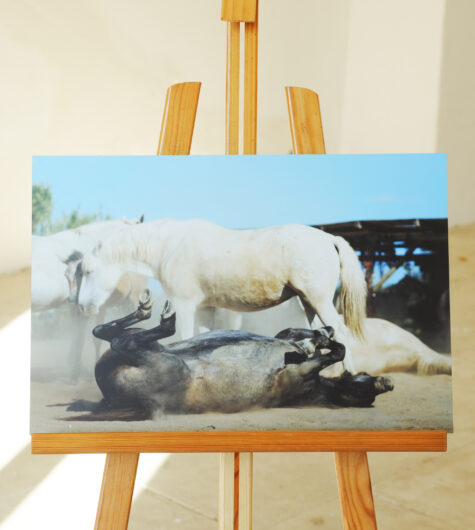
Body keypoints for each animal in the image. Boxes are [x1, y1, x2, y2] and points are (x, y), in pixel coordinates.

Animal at [67, 290, 394, 418]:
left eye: (365, 389)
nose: (386, 383)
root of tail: (110, 400)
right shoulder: (286, 339)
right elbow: (303, 336)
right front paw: (318, 337)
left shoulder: (299, 376)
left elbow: (336, 352)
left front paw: (319, 342)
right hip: (140, 353)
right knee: (107, 333)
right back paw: (148, 311)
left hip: (167, 364)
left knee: (122, 342)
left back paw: (162, 319)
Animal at [77, 217, 368, 370]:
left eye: (89, 271)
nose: (82, 307)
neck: (170, 246)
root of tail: (329, 239)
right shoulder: (206, 309)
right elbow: (201, 339)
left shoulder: (184, 306)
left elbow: (183, 337)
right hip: (308, 302)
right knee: (322, 331)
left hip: (318, 300)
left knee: (340, 332)